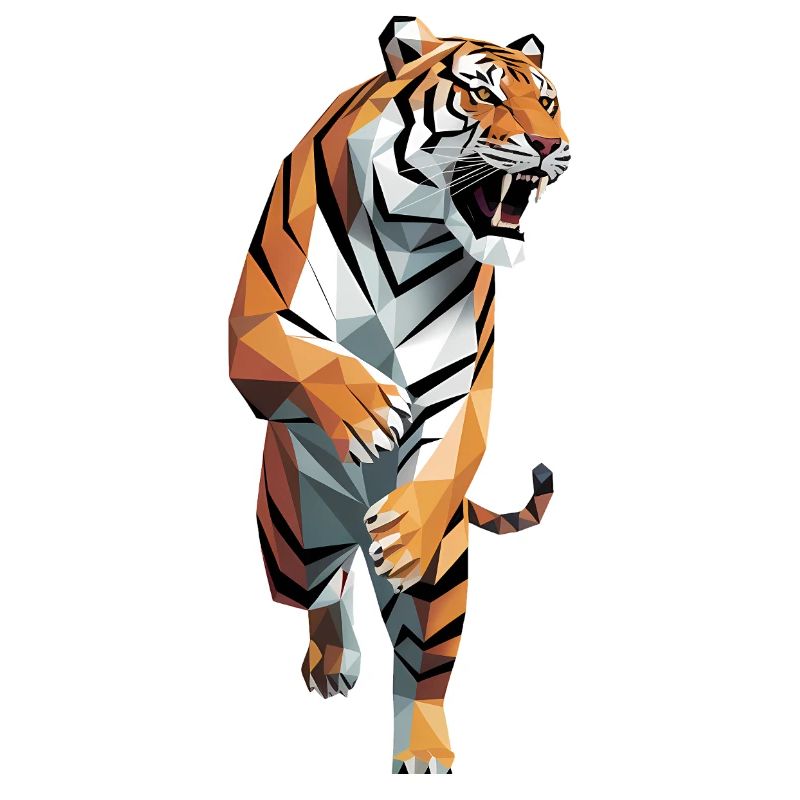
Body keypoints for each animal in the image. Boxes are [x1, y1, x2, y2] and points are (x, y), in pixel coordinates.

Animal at [228, 16, 569, 774]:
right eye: (482, 94)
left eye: (548, 102)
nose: (550, 146)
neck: (412, 237)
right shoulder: (253, 322)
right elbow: (303, 358)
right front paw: (370, 412)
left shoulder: (468, 376)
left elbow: (455, 438)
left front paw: (405, 523)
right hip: (291, 545)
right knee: (323, 593)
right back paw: (332, 665)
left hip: (444, 572)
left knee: (423, 666)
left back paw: (423, 750)